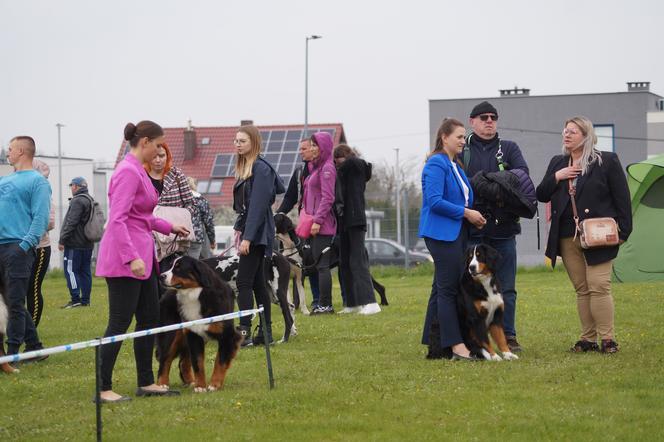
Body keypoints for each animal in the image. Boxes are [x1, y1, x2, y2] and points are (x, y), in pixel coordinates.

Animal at [157, 258, 243, 392]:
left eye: (178, 268)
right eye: (171, 266)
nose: (161, 276)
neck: (197, 294)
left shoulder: (227, 336)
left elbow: (220, 361)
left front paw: (214, 385)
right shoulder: (194, 335)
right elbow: (198, 363)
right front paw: (200, 387)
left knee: (183, 361)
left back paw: (190, 382)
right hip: (171, 334)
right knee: (165, 358)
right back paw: (162, 384)